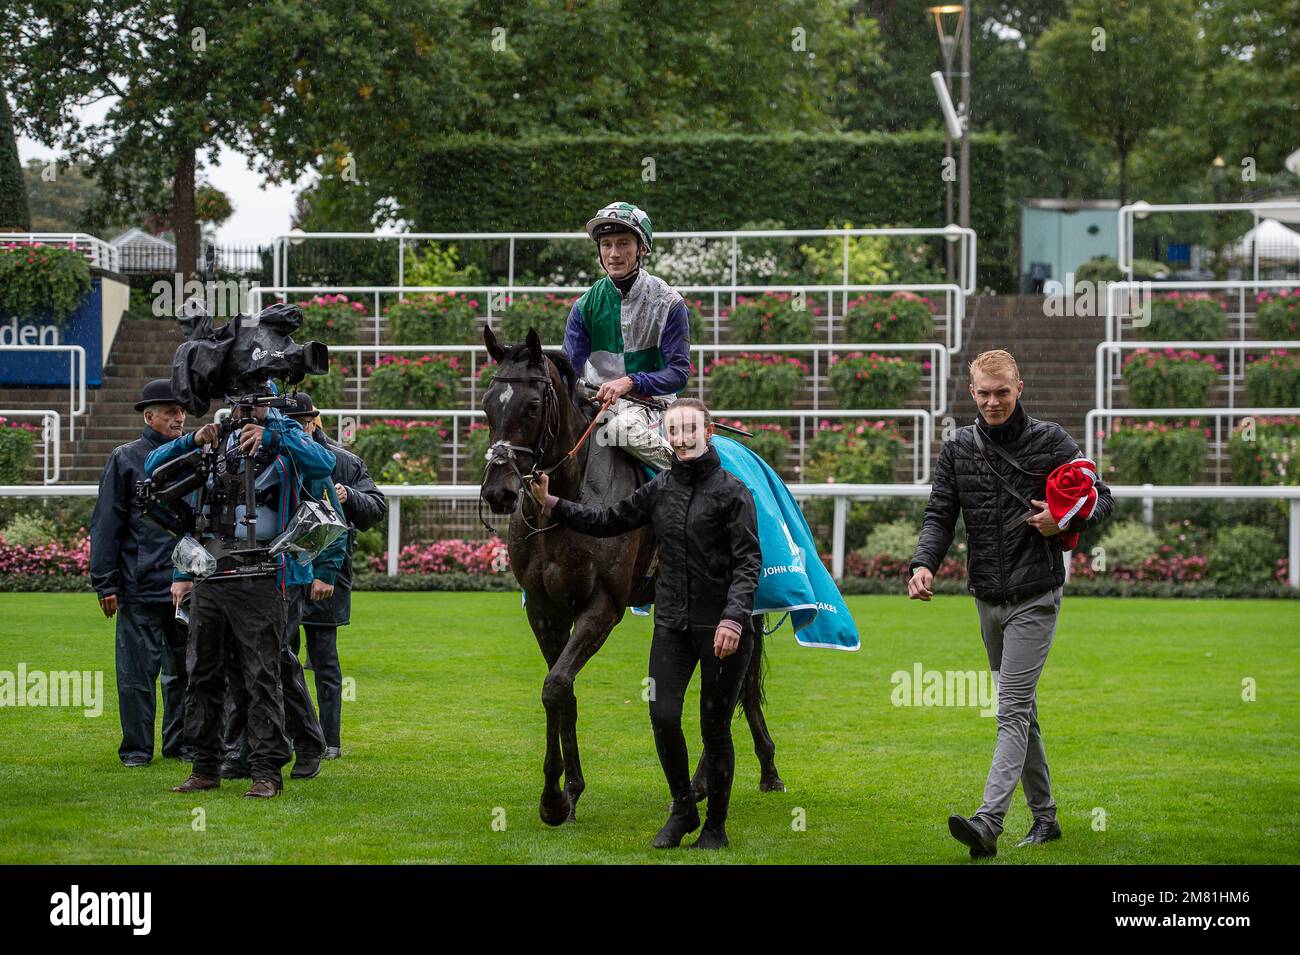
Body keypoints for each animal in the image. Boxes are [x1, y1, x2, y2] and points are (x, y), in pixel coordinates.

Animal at [478, 327, 780, 821]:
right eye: (487, 404)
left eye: (533, 406)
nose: (498, 492)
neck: (569, 500)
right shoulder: (543, 608)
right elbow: (561, 690)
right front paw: (569, 790)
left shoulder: (603, 605)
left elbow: (555, 685)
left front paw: (553, 798)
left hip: (741, 604)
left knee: (736, 684)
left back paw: (734, 775)